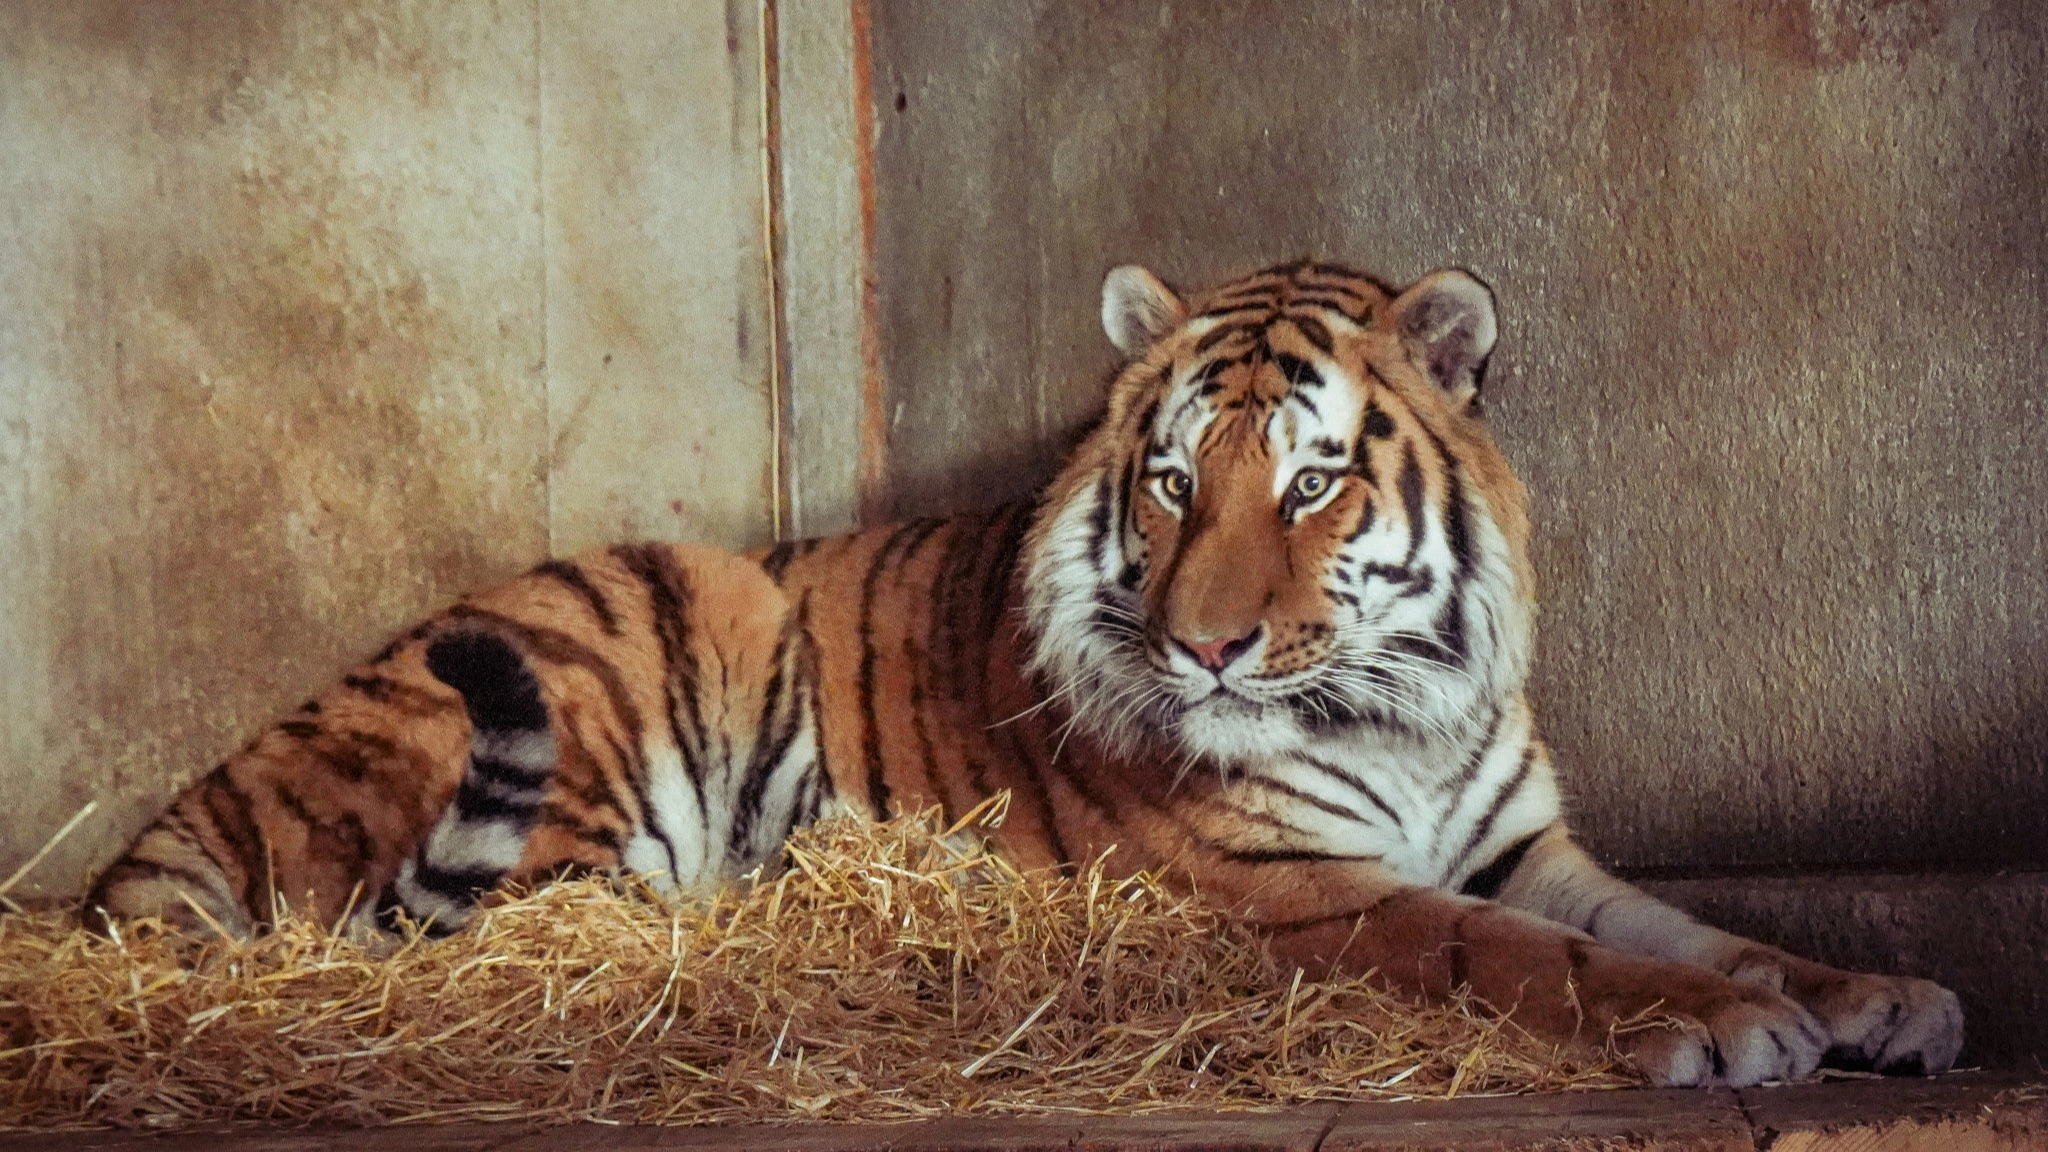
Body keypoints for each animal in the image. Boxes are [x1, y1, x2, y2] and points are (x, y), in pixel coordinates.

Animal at [87, 259, 1964, 1088]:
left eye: (1311, 484)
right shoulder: (1301, 891)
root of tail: (196, 800)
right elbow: (1524, 958)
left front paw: (1871, 995)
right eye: (1171, 481)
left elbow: (1692, 924)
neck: (1403, 711)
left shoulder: (1526, 845)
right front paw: (1732, 1033)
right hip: (625, 668)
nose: (1206, 643)